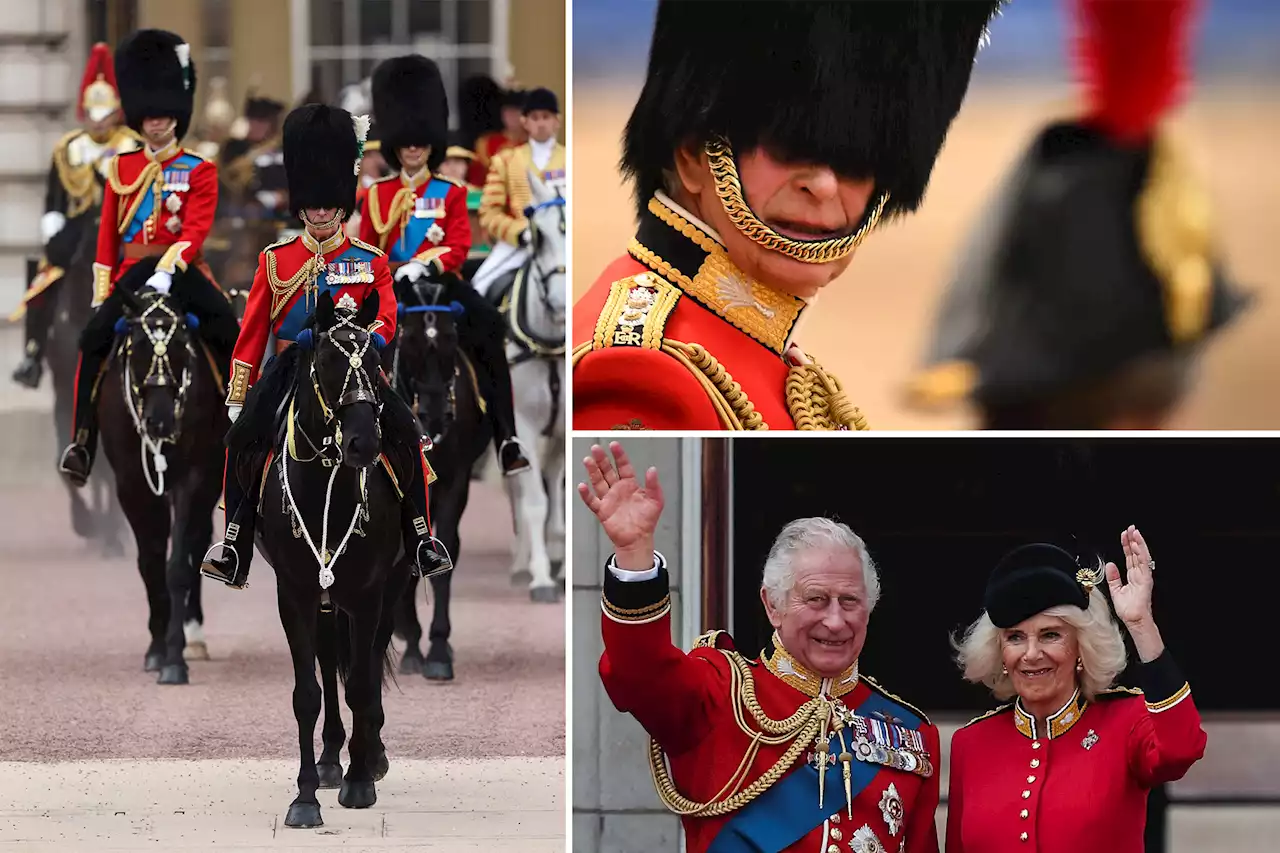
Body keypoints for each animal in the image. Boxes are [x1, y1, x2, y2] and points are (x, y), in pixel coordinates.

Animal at [97, 268, 225, 681]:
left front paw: (174, 658)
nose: (161, 420)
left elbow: (177, 563)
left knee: (197, 541)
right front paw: (157, 648)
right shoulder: (131, 484)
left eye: (181, 344)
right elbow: (151, 561)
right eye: (137, 346)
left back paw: (192, 634)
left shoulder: (193, 477)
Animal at [254, 290, 414, 824]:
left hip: (393, 584)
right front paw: (305, 798)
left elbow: (362, 681)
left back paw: (371, 755)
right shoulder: (295, 593)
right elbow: (308, 692)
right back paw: (328, 760)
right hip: (325, 600)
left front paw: (360, 781)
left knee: (370, 660)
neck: (326, 478)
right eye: (326, 360)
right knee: (328, 662)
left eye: (377, 361)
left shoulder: (368, 593)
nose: (364, 443)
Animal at [384, 277, 488, 676]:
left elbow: (442, 551)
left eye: (451, 337)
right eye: (410, 339)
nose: (434, 416)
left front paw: (439, 649)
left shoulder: (454, 482)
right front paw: (413, 642)